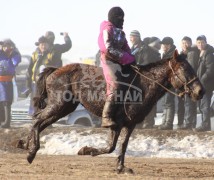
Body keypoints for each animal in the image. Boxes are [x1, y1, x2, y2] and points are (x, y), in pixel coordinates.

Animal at [16, 50, 204, 173]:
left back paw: (25, 145)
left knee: (40, 122)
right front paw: (86, 150)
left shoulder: (130, 124)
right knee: (38, 120)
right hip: (59, 105)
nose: (200, 91)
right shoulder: (116, 123)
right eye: (184, 69)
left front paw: (121, 167)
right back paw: (31, 152)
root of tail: (55, 70)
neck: (142, 84)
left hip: (63, 108)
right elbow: (111, 146)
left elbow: (123, 145)